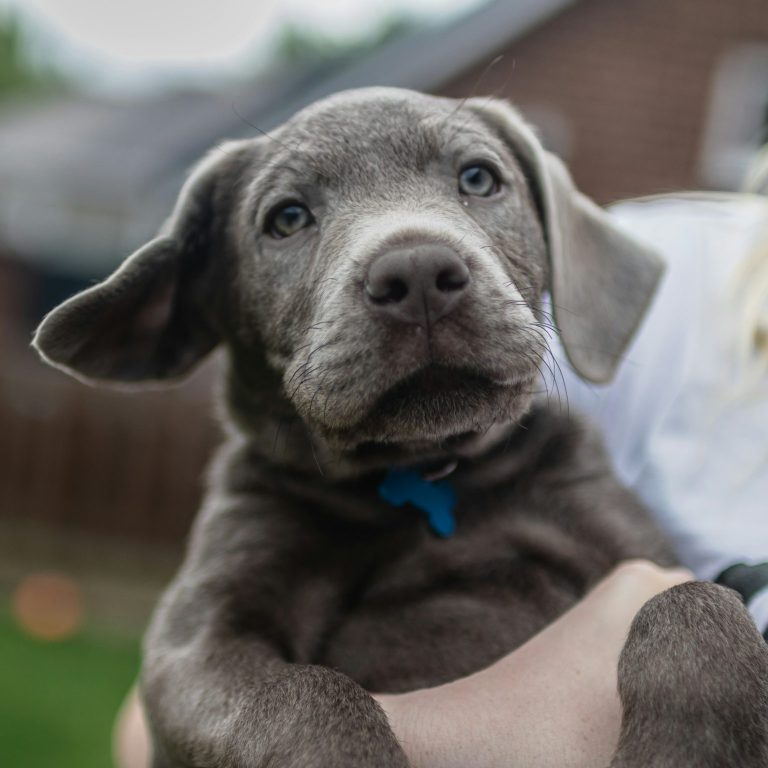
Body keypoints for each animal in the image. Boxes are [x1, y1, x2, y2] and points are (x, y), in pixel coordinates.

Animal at [33, 90, 764, 768]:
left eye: (478, 178)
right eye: (287, 218)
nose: (416, 271)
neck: (429, 475)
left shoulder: (637, 554)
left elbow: (699, 604)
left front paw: (685, 749)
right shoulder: (194, 642)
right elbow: (300, 696)